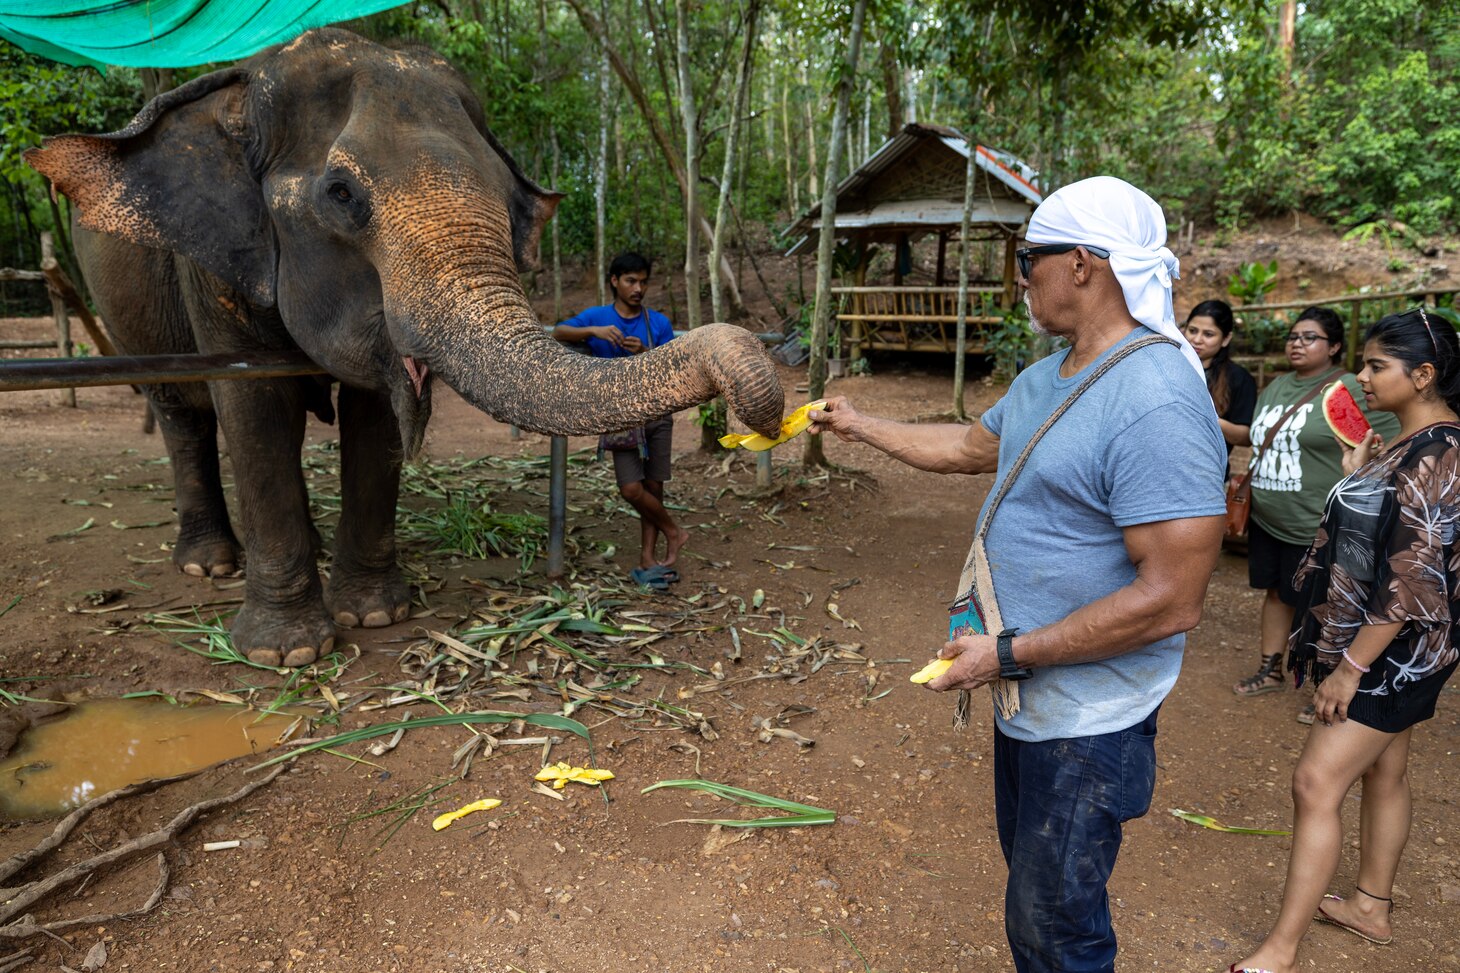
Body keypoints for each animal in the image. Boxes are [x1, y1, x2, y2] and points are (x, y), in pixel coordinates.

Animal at [25, 28, 788, 666]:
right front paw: (285, 654)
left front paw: (373, 616)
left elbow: (373, 413)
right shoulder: (214, 268)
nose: (762, 389)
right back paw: (208, 564)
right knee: (183, 412)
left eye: (511, 198)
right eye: (340, 193)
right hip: (124, 308)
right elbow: (255, 406)